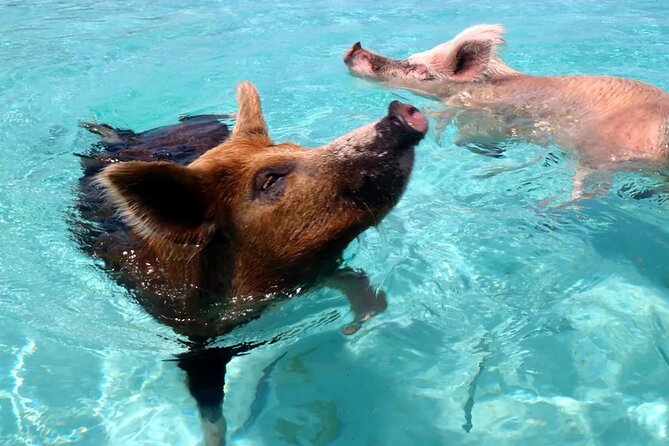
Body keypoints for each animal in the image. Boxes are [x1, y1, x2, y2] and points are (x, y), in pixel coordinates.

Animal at [72, 81, 427, 445]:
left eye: (296, 147)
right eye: (270, 180)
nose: (402, 112)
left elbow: (360, 287)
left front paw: (354, 325)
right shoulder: (195, 340)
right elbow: (210, 409)